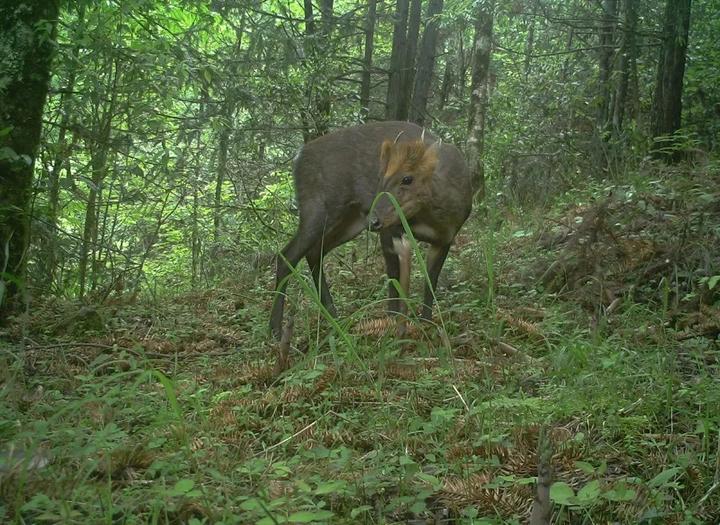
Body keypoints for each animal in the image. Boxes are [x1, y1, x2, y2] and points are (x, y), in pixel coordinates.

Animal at [270, 120, 472, 338]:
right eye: (380, 179)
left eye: (407, 179)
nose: (373, 220)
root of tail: (298, 158)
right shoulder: (391, 227)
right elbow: (393, 273)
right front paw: (392, 320)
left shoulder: (445, 238)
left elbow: (430, 280)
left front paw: (427, 324)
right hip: (316, 207)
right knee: (287, 255)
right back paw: (275, 329)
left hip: (349, 221)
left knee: (314, 252)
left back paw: (334, 317)